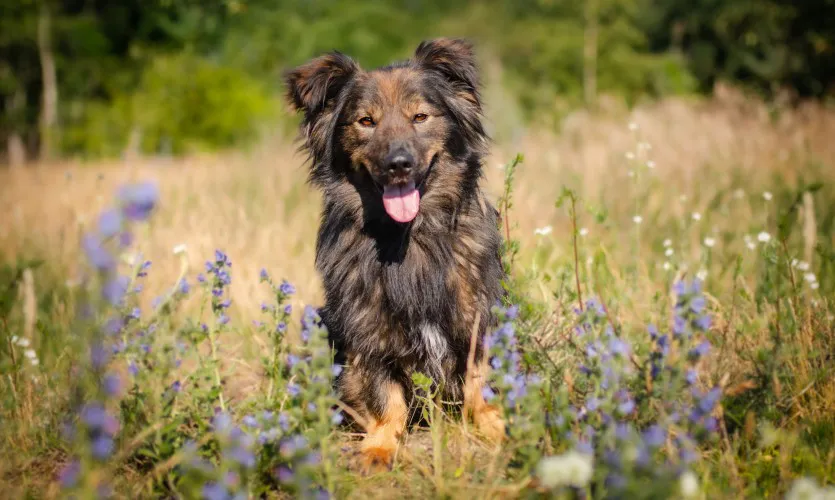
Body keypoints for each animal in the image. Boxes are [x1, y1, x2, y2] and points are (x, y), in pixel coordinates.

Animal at [284, 37, 506, 470]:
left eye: (420, 116)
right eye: (365, 122)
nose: (398, 165)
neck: (408, 237)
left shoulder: (478, 313)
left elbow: (478, 380)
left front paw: (493, 424)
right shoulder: (365, 325)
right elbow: (383, 394)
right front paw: (381, 444)